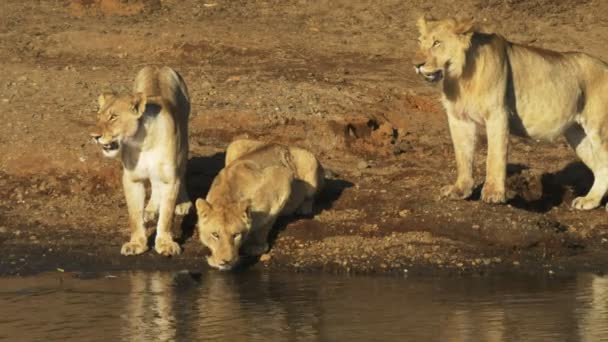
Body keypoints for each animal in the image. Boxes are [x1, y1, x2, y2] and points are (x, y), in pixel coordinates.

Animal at [88, 65, 190, 255]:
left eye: (113, 117)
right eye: (99, 116)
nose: (94, 136)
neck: (143, 142)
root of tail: (158, 66)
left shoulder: (169, 179)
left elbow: (167, 215)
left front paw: (165, 243)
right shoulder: (132, 179)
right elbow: (134, 215)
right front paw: (137, 243)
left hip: (184, 137)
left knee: (182, 171)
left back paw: (183, 203)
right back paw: (150, 209)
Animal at [197, 140, 326, 270]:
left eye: (236, 235)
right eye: (215, 235)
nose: (226, 261)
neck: (228, 197)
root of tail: (284, 145)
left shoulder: (282, 177)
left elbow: (267, 221)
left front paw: (256, 246)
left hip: (309, 160)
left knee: (310, 196)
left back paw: (303, 209)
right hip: (235, 145)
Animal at [416, 18, 608, 211]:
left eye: (436, 42)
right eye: (420, 42)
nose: (417, 64)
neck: (461, 77)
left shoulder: (497, 114)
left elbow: (494, 156)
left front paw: (493, 193)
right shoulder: (459, 118)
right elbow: (463, 156)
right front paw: (460, 190)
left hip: (599, 129)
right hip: (577, 136)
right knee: (600, 168)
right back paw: (589, 201)